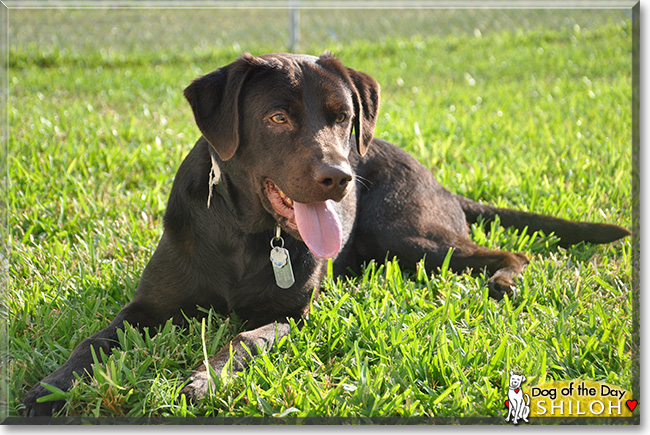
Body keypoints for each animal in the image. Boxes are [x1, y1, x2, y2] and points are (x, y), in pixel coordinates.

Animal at [21, 52, 628, 418]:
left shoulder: (292, 315)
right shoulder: (145, 309)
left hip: (411, 238)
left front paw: (203, 379)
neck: (246, 233)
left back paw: (504, 281)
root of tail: (439, 181)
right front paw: (44, 392)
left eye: (342, 116)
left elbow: (245, 339)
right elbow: (89, 344)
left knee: (507, 250)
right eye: (278, 118)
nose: (340, 177)